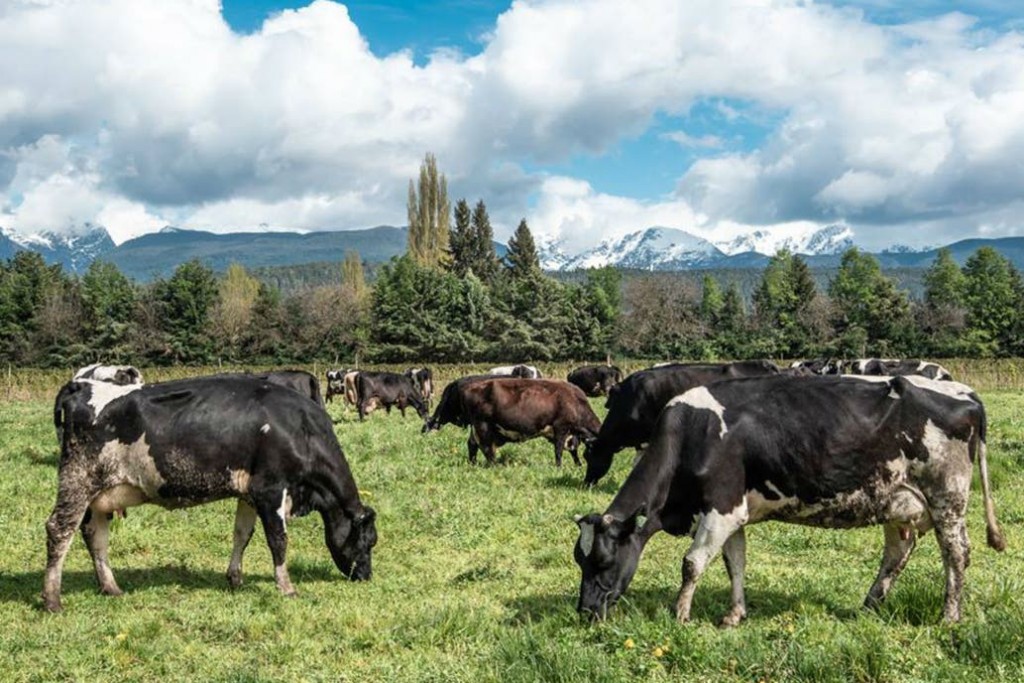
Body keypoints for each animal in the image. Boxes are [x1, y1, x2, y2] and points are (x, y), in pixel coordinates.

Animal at [44, 376, 378, 610]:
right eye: (368, 541)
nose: (366, 576)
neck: (300, 428)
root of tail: (78, 384)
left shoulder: (248, 493)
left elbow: (242, 535)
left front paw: (235, 579)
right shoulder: (270, 489)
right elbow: (278, 541)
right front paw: (287, 588)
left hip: (99, 496)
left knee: (95, 535)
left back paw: (111, 588)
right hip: (78, 480)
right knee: (59, 530)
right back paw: (52, 600)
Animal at [454, 378, 598, 471]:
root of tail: (470, 386)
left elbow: (573, 451)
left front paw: (578, 465)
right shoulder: (561, 427)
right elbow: (558, 450)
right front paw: (559, 468)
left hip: (477, 428)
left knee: (472, 444)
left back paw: (473, 463)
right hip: (482, 426)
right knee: (486, 448)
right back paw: (495, 466)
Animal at [577, 374, 1007, 626]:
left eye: (603, 561)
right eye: (579, 561)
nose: (585, 611)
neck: (690, 432)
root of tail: (966, 393)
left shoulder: (721, 507)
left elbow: (692, 563)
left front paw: (680, 614)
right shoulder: (734, 512)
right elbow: (735, 564)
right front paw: (734, 615)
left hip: (947, 497)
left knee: (956, 553)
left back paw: (949, 617)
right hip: (899, 501)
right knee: (897, 552)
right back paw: (869, 605)